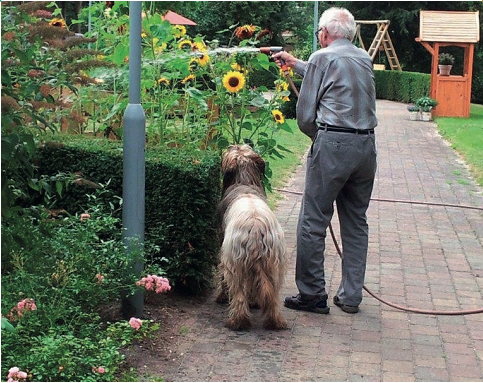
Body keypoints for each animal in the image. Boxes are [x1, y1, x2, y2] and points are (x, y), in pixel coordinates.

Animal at [216, 146, 288, 332]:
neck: (244, 183)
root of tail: (256, 229)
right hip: (273, 263)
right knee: (272, 296)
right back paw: (275, 322)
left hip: (234, 262)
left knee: (239, 294)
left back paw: (237, 322)